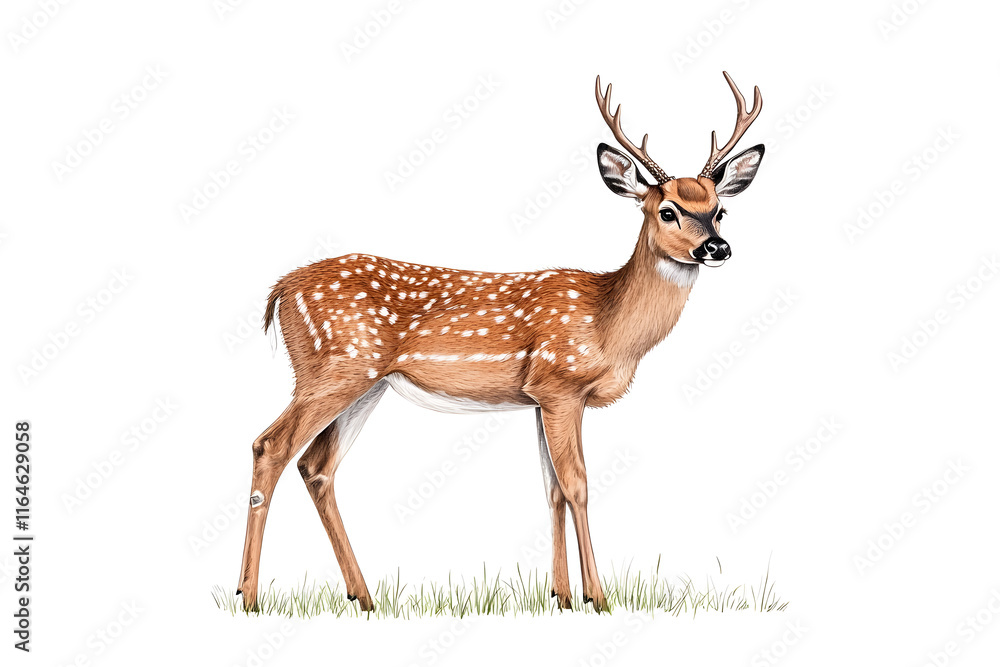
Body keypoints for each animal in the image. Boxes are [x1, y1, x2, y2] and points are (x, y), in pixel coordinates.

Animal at [237, 71, 764, 612]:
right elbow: (578, 485)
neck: (606, 322)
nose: (717, 247)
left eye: (720, 210)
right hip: (333, 368)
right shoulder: (560, 384)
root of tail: (281, 290)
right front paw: (597, 598)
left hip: (367, 384)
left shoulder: (537, 398)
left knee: (316, 466)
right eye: (667, 211)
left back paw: (363, 597)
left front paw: (560, 596)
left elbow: (551, 489)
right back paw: (249, 596)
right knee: (269, 446)